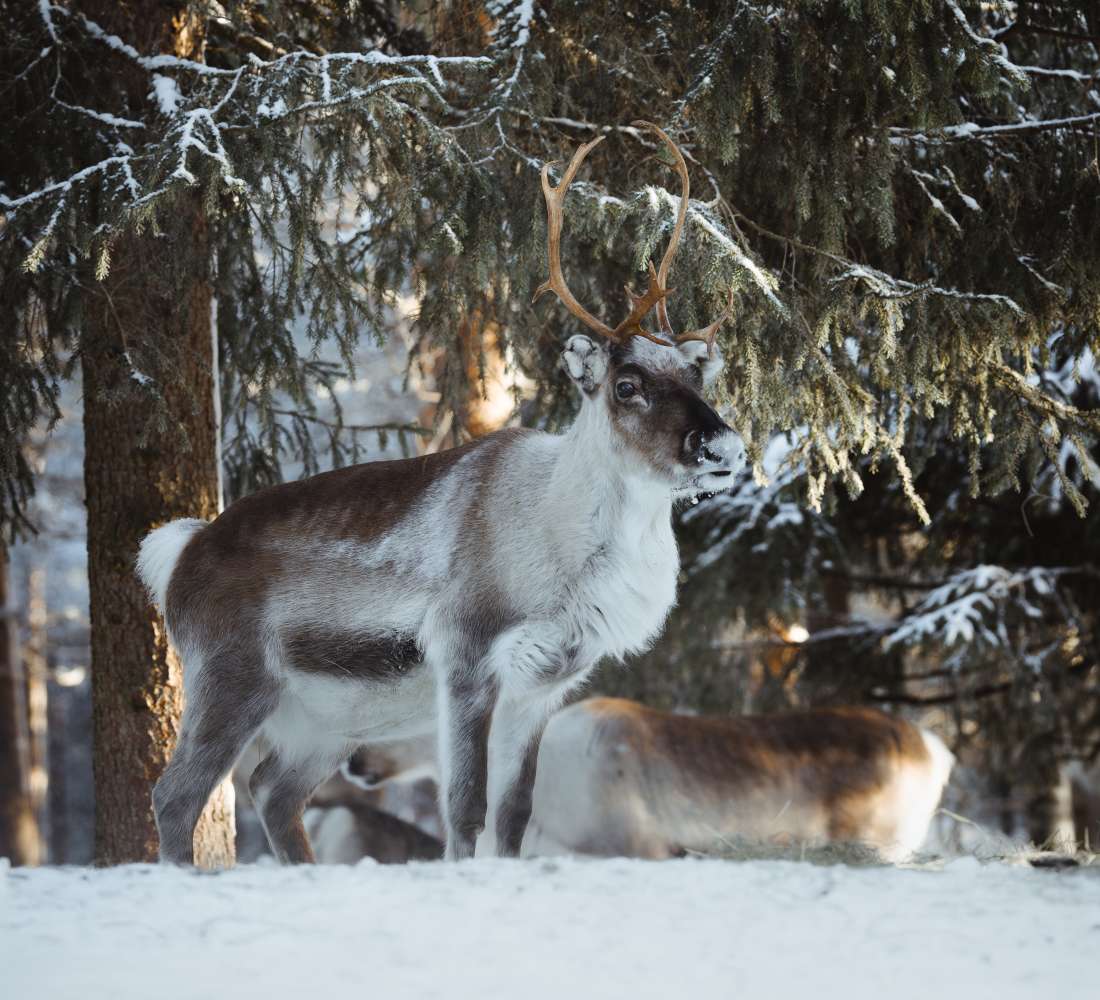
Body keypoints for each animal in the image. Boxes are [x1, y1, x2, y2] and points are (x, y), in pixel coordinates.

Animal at [137, 122, 745, 865]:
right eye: (627, 385)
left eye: (697, 376)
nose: (723, 449)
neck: (563, 549)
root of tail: (180, 549)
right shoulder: (467, 653)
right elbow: (465, 809)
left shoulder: (542, 685)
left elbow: (512, 818)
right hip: (231, 677)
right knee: (177, 794)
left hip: (329, 718)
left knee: (271, 789)